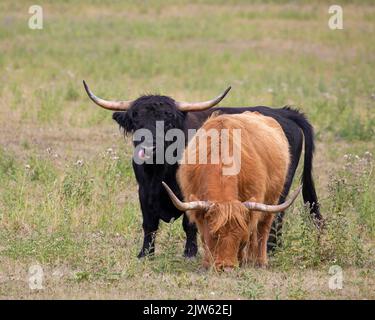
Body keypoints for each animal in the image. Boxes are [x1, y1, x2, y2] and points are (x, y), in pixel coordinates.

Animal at [83, 81, 324, 258]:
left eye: (168, 122)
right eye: (136, 122)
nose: (148, 148)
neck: (159, 171)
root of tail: (284, 112)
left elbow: (189, 223)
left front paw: (190, 252)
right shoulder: (143, 191)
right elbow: (149, 224)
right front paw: (145, 254)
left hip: (280, 184)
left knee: (276, 214)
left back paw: (271, 248)